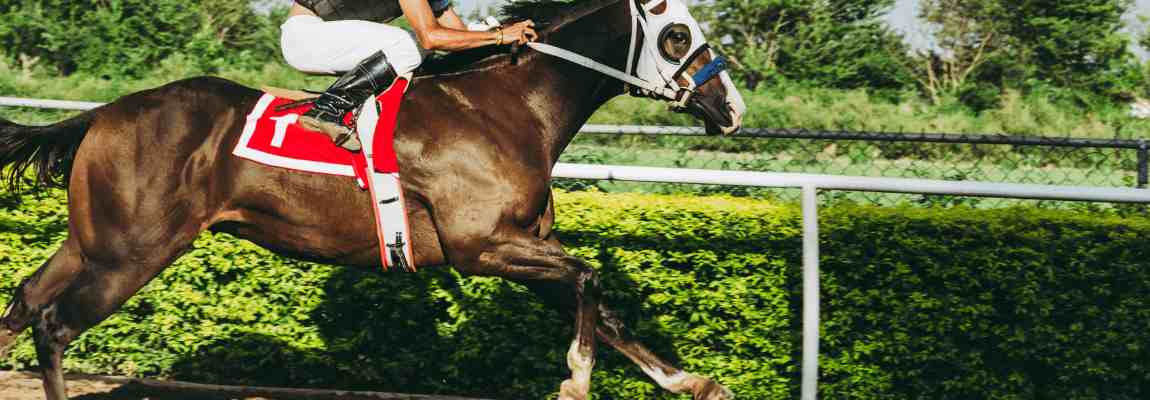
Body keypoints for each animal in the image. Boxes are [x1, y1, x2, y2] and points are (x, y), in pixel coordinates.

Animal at [0, 0, 745, 398]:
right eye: (678, 33)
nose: (732, 108)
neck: (506, 107)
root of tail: (103, 114)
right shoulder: (483, 246)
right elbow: (590, 280)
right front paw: (577, 380)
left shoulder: (525, 246)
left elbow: (601, 306)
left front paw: (691, 382)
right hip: (132, 252)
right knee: (55, 324)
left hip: (92, 241)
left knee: (26, 300)